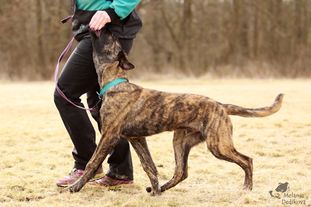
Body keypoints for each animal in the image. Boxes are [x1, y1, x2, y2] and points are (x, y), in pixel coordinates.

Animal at [68, 29, 286, 196]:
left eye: (111, 39)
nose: (107, 26)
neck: (115, 83)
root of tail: (221, 105)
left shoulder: (109, 136)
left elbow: (92, 162)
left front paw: (76, 187)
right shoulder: (137, 139)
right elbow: (150, 166)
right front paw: (156, 191)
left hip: (218, 145)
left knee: (246, 160)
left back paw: (247, 187)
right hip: (181, 141)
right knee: (182, 172)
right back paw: (161, 189)